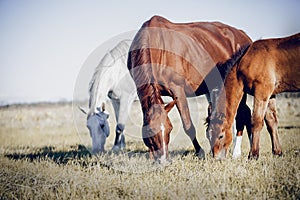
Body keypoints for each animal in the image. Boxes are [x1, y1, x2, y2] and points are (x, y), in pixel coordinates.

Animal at [126, 15, 253, 162]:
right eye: (151, 131)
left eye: (170, 129)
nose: (164, 160)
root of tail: (244, 35)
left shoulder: (177, 90)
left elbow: (188, 126)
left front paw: (200, 152)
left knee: (243, 114)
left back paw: (237, 153)